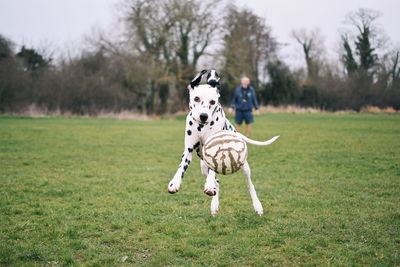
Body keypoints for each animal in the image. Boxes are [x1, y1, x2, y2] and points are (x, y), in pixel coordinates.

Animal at [168, 69, 278, 218]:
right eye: (196, 98)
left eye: (212, 101)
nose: (203, 116)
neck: (202, 127)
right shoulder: (188, 150)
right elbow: (181, 168)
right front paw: (175, 183)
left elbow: (213, 174)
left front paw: (208, 186)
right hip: (203, 166)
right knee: (217, 182)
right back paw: (214, 204)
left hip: (244, 167)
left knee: (250, 185)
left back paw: (257, 206)